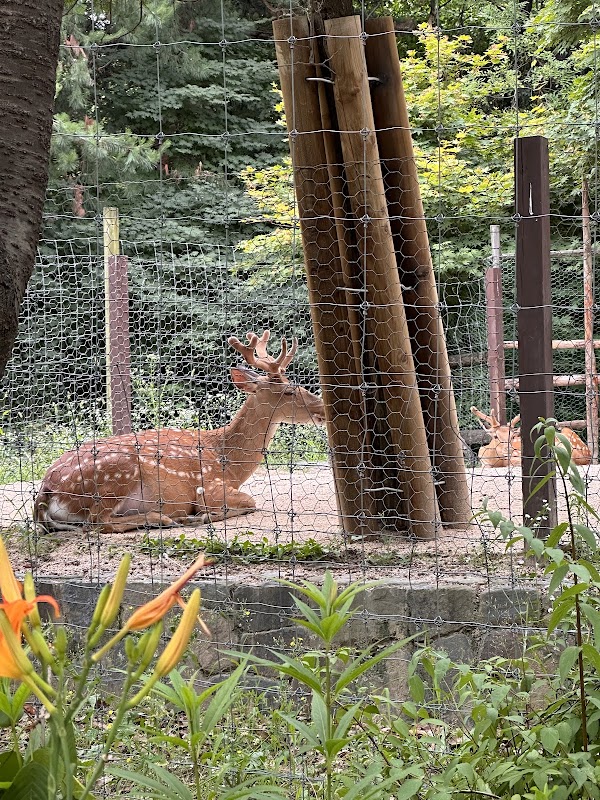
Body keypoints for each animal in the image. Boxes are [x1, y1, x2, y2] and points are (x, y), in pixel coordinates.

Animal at [33, 330, 327, 534]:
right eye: (289, 391)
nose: (322, 406)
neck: (229, 462)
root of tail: (46, 490)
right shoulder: (211, 485)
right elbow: (249, 501)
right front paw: (201, 515)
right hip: (115, 475)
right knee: (98, 523)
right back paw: (166, 518)